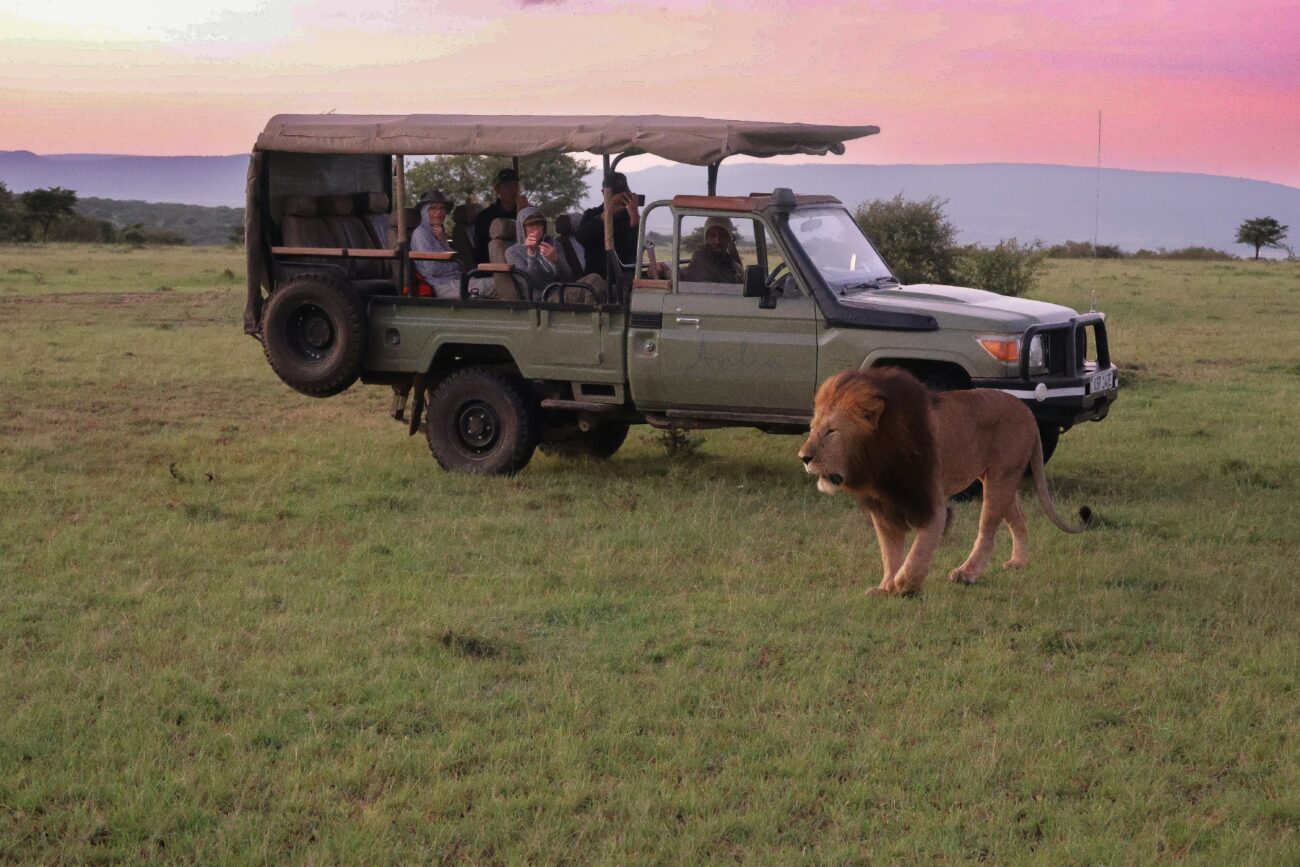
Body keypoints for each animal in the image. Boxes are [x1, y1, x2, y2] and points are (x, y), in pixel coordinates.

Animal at [795, 366, 1092, 597]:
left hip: (1000, 479)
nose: (804, 457)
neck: (874, 463)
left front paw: (905, 583)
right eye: (811, 429)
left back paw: (966, 573)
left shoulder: (931, 502)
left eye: (831, 431)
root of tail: (1027, 410)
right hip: (999, 479)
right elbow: (889, 552)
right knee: (1019, 519)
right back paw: (1018, 562)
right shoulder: (884, 508)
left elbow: (920, 549)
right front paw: (886, 586)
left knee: (987, 533)